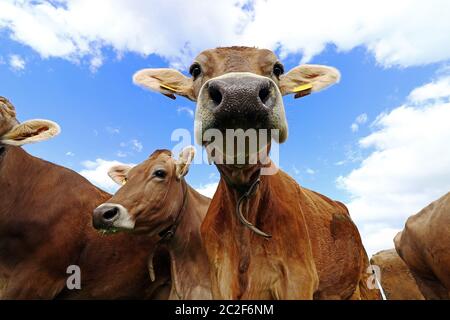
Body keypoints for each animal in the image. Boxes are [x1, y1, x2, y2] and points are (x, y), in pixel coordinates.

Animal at [132, 46, 378, 298]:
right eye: (195, 69)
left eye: (278, 68)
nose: (240, 94)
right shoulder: (219, 281)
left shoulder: (298, 280)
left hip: (365, 278)